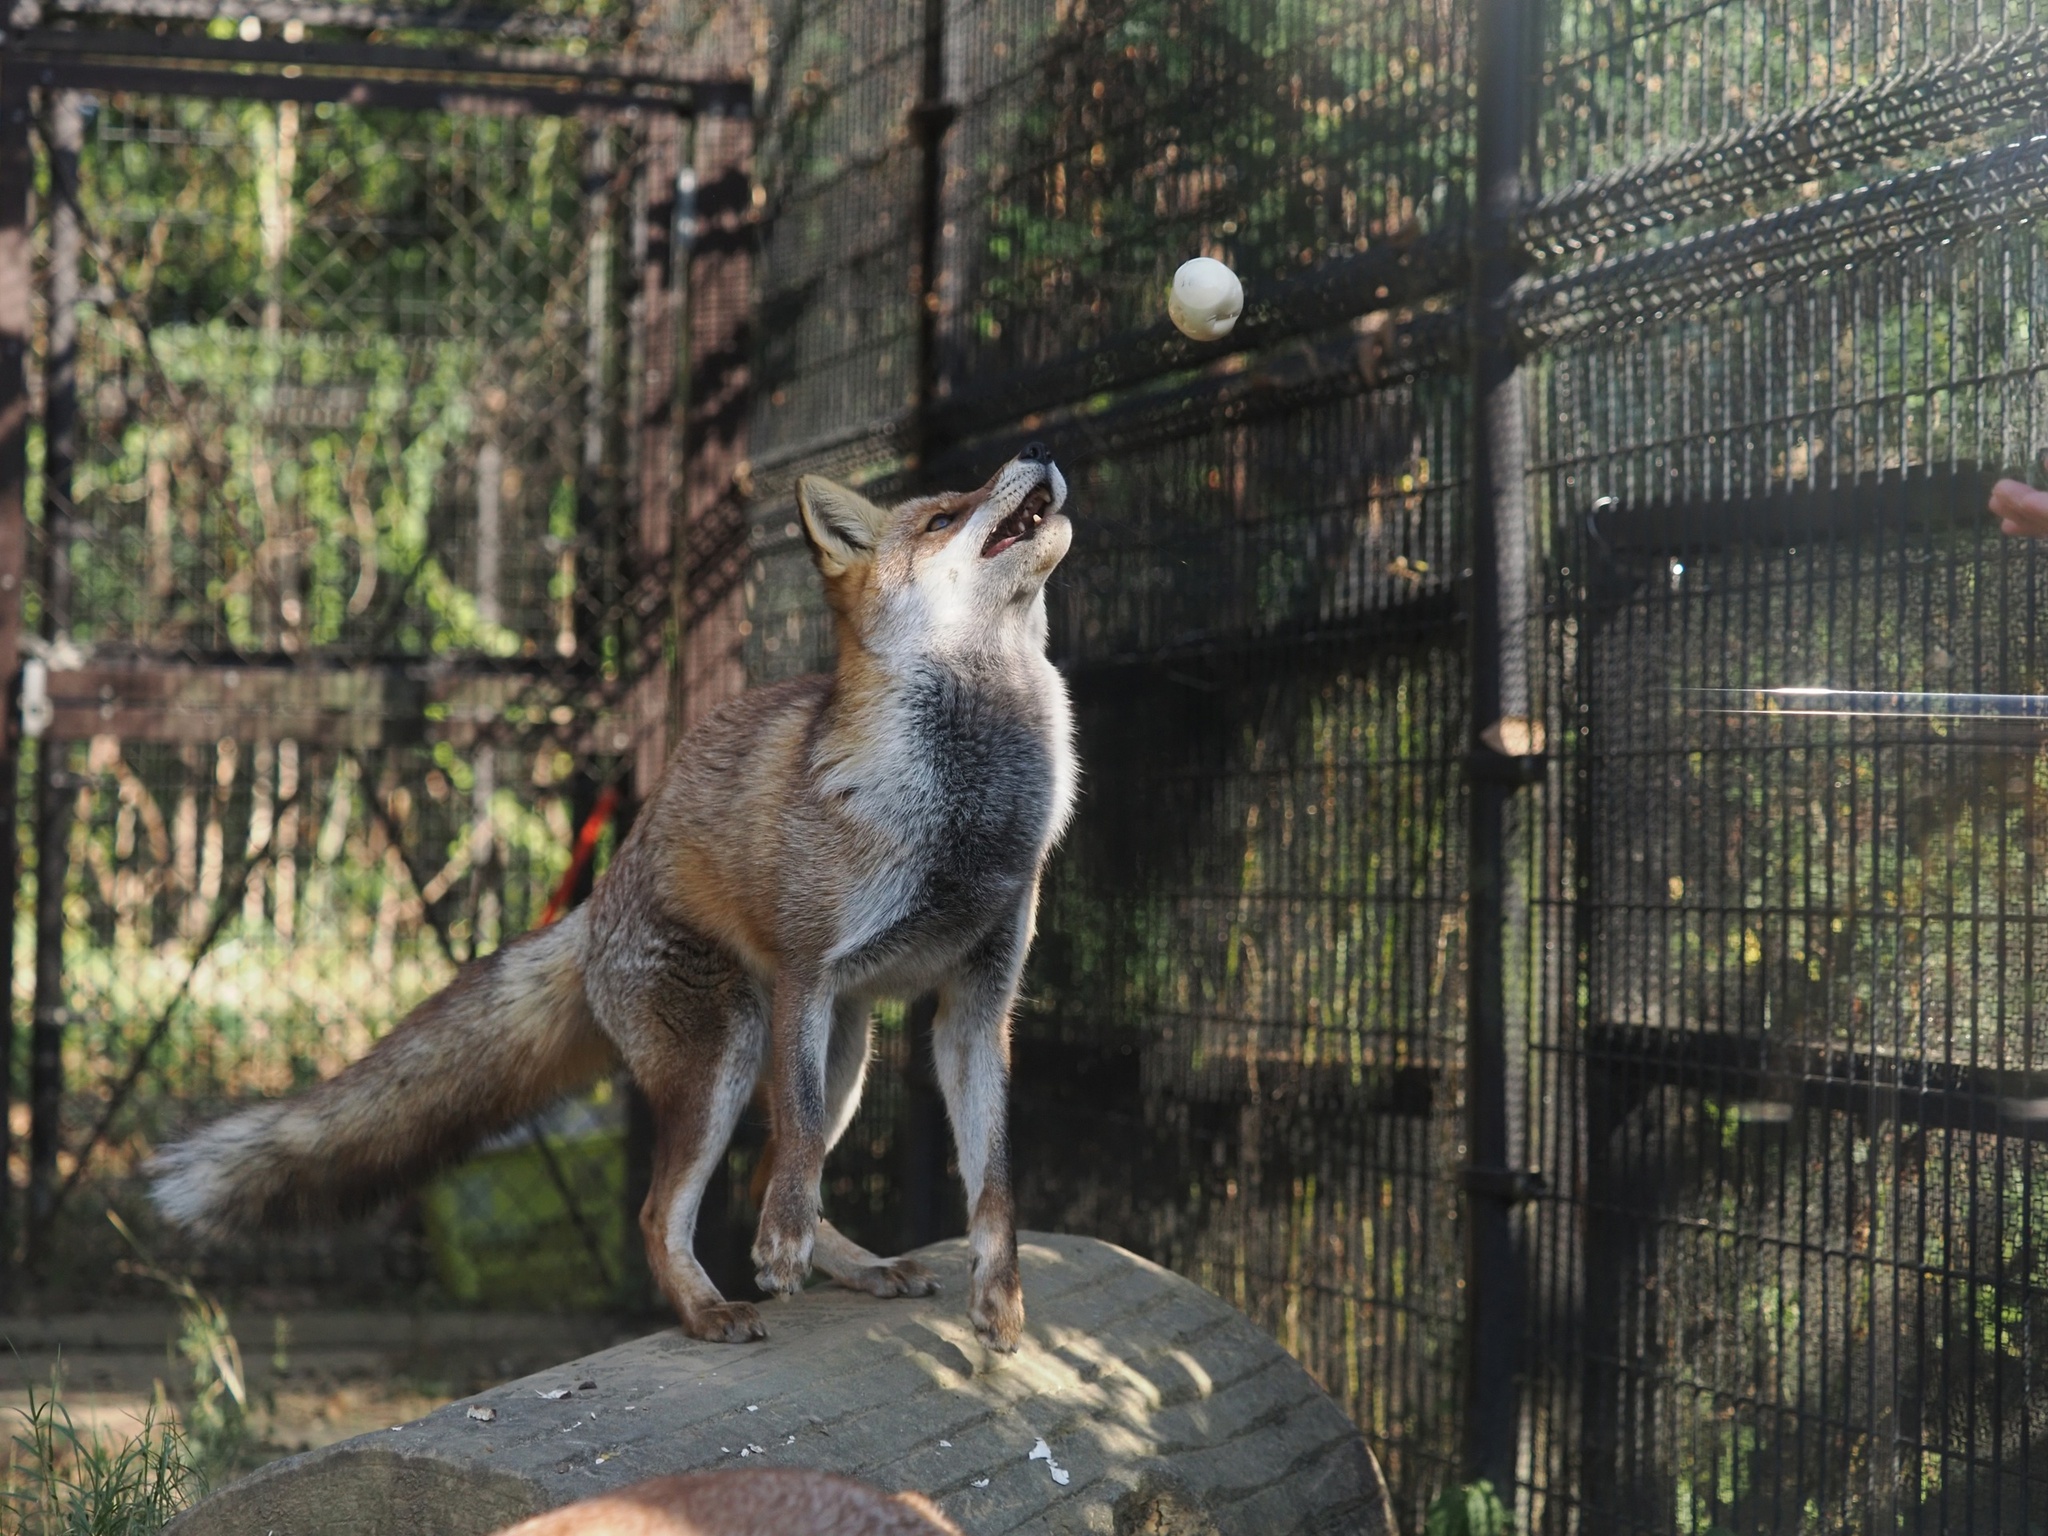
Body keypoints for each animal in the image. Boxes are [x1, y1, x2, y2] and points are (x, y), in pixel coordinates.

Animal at [151, 442, 1081, 1343]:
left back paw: (855, 1267)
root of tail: (600, 899)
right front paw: (780, 1250)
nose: (1036, 450)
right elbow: (800, 1138)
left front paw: (1001, 1306)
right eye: (943, 516)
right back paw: (709, 1311)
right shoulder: (805, 971)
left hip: (845, 1050)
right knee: (668, 1208)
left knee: (765, 1176)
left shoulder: (977, 1003)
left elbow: (993, 1177)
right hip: (734, 1046)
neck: (968, 821)